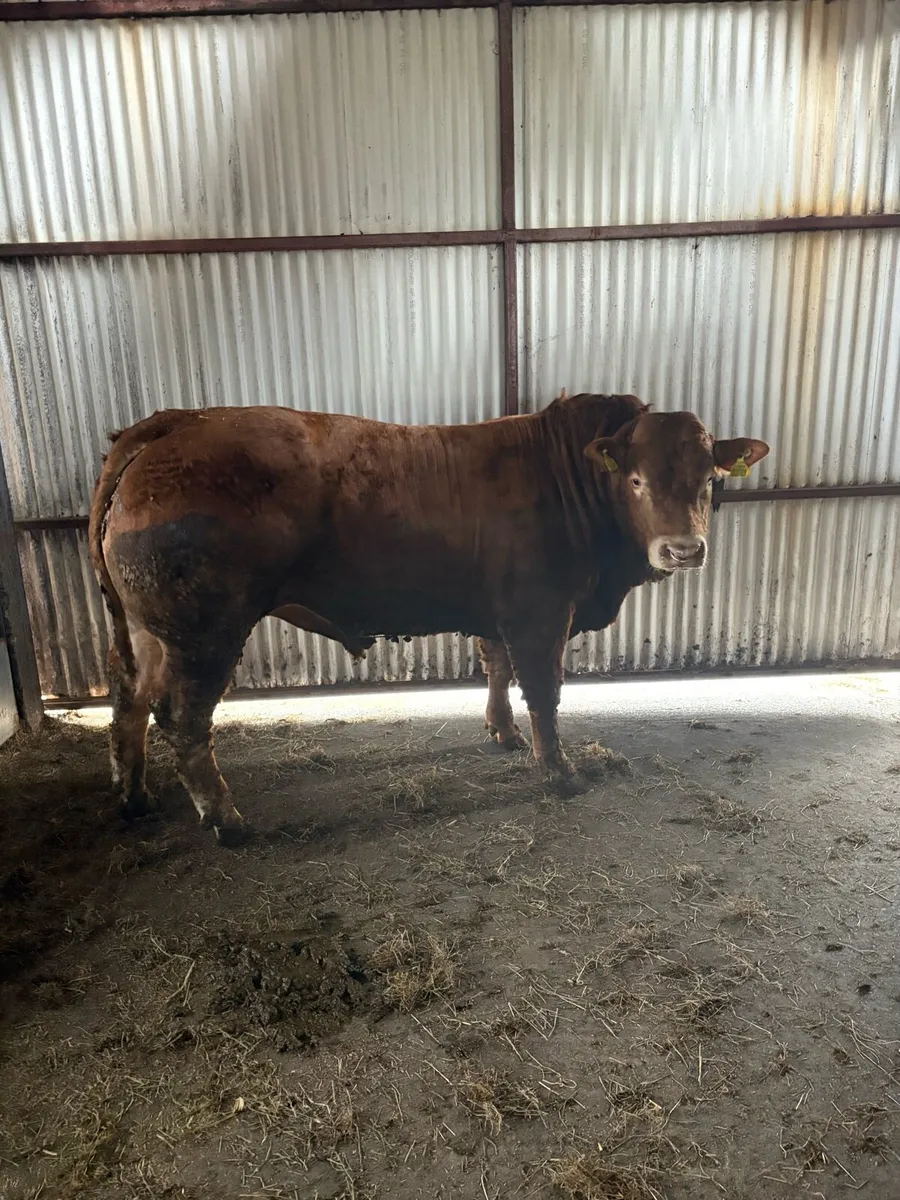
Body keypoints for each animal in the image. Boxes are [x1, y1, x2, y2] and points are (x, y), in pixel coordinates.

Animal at [89, 392, 768, 843]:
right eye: (635, 480)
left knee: (129, 697)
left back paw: (134, 796)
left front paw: (503, 732)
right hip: (204, 630)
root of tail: (178, 422)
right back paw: (225, 818)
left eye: (709, 478)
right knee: (182, 715)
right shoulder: (540, 610)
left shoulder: (498, 612)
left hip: (148, 631)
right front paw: (558, 770)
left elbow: (497, 669)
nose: (683, 549)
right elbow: (543, 688)